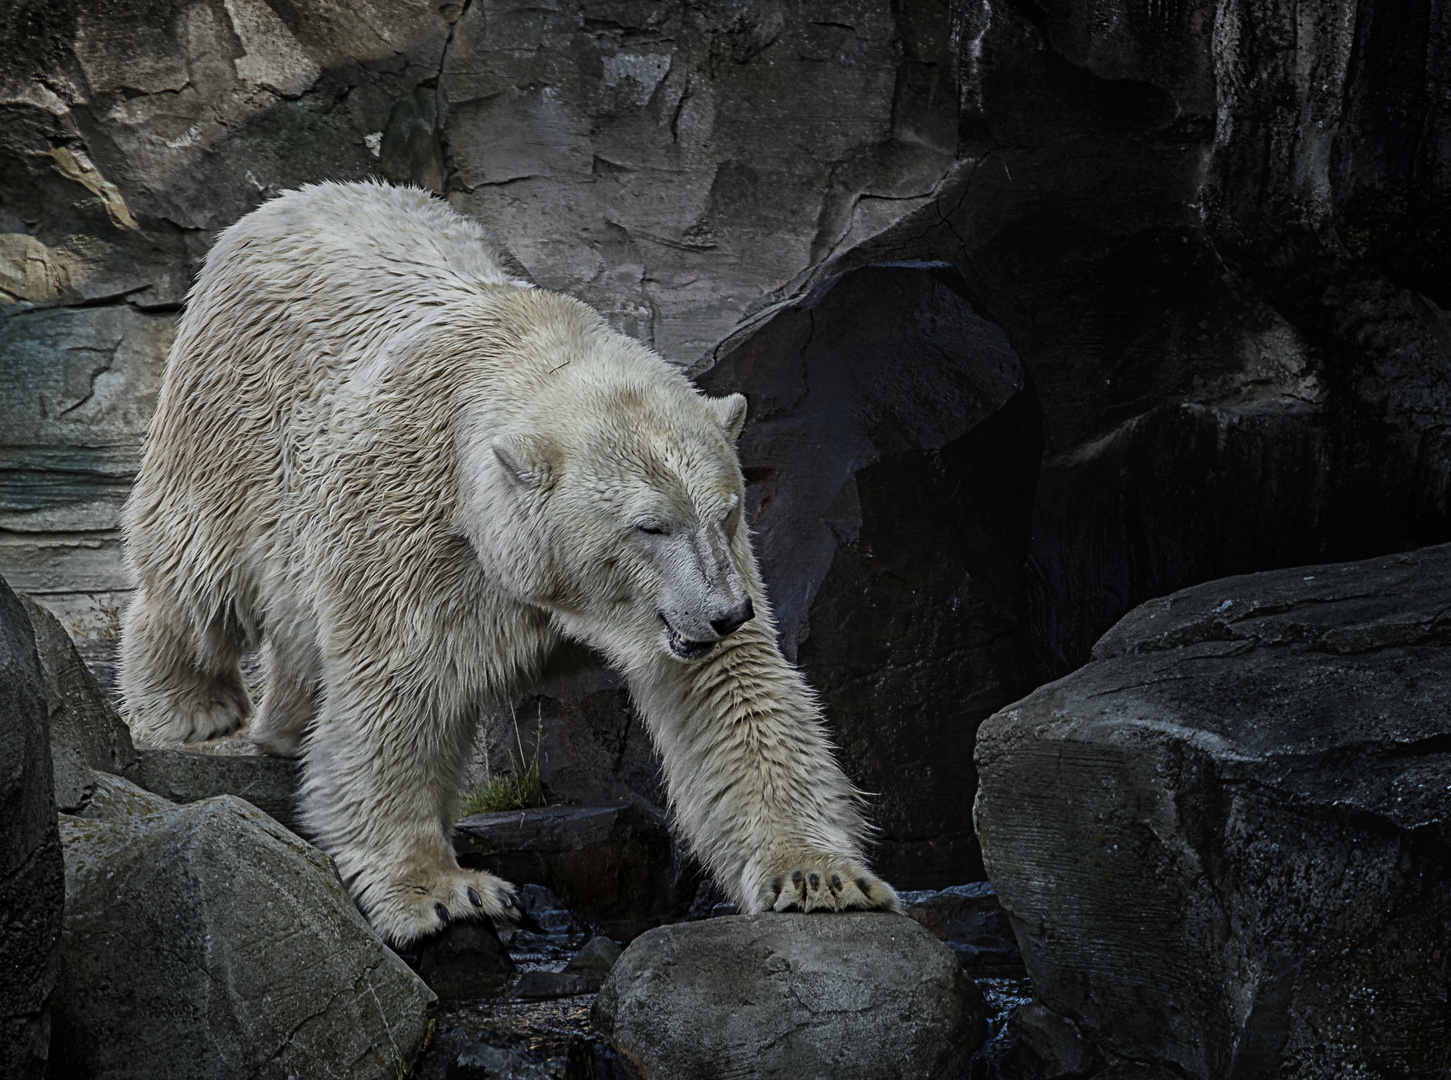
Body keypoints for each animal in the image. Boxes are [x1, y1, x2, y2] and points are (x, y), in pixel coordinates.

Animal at [121, 183, 893, 946]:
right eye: (649, 526)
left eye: (727, 512)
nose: (726, 614)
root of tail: (290, 200)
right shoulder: (413, 527)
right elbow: (398, 690)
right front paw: (441, 892)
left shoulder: (705, 582)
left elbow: (734, 690)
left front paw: (819, 877)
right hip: (236, 415)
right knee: (200, 566)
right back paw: (189, 705)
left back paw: (286, 723)